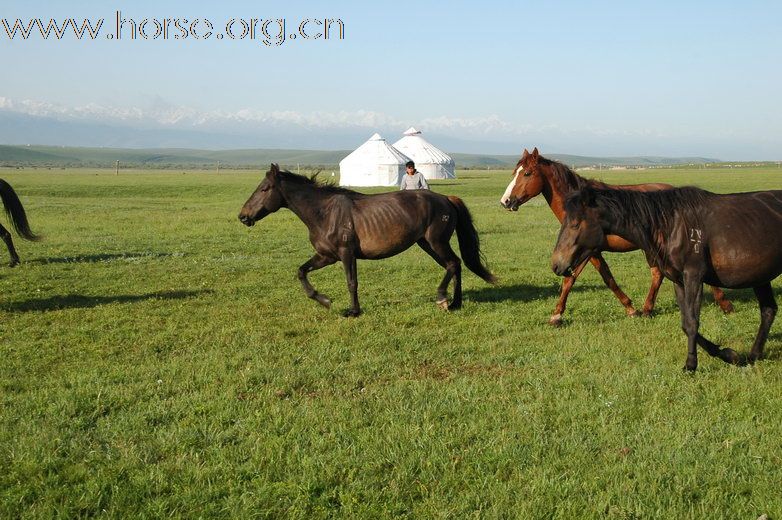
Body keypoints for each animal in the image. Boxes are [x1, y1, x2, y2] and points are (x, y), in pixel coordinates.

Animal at [239, 165, 496, 314]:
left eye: (265, 189)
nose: (243, 216)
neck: (325, 212)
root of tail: (446, 198)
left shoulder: (346, 254)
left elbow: (351, 282)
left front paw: (353, 311)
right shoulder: (326, 256)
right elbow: (302, 272)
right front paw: (325, 300)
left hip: (436, 242)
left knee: (453, 264)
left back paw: (443, 299)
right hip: (427, 244)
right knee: (455, 265)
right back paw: (455, 303)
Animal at [502, 147, 736, 324]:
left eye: (527, 173)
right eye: (514, 172)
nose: (505, 201)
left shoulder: (586, 251)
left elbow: (574, 279)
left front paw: (557, 315)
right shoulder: (590, 251)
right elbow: (605, 277)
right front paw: (631, 308)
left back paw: (724, 304)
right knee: (657, 274)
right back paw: (648, 309)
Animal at [556, 185, 782, 372]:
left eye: (575, 224)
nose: (556, 265)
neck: (670, 225)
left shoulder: (693, 276)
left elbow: (692, 322)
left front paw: (691, 365)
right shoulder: (678, 281)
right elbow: (685, 323)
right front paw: (729, 355)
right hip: (760, 277)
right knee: (768, 310)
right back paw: (753, 356)